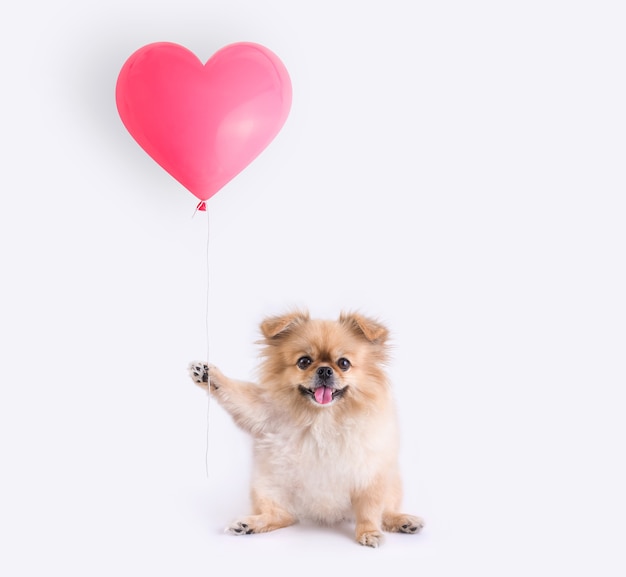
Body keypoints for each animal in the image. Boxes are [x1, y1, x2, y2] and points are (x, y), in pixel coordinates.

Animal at [188, 308, 422, 548]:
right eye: (304, 361)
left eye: (344, 363)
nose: (325, 370)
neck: (322, 416)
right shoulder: (263, 412)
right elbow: (239, 396)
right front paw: (208, 375)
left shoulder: (370, 476)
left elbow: (369, 512)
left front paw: (369, 532)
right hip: (266, 486)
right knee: (283, 516)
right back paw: (248, 525)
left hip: (391, 485)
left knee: (383, 512)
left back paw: (403, 521)